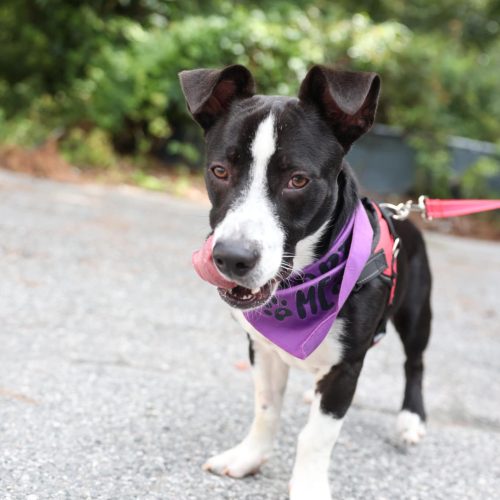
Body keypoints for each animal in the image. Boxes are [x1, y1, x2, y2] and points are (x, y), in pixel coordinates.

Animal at [178, 65, 432, 500]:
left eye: (298, 180)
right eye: (219, 171)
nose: (231, 257)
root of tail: (407, 216)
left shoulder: (347, 366)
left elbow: (317, 435)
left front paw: (309, 486)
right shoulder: (261, 348)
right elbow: (266, 409)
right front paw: (249, 457)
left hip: (417, 313)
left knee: (414, 363)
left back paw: (410, 419)